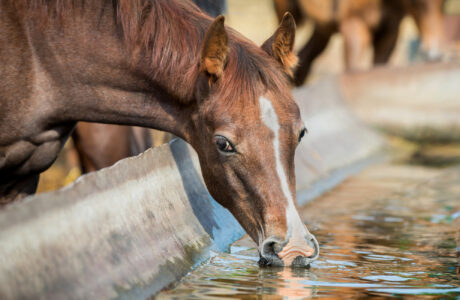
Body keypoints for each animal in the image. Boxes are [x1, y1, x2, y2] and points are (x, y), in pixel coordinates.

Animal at [274, 0, 448, 85]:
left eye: (444, 4)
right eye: (415, 3)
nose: (435, 55)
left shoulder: (390, 31)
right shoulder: (353, 25)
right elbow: (353, 71)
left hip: (324, 28)